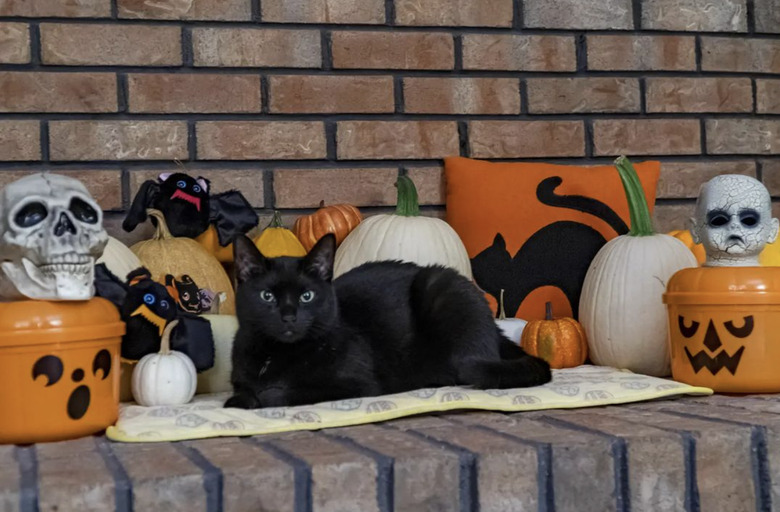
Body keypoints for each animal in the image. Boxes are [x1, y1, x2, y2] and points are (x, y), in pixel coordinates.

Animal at [225, 234, 552, 410]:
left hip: (444, 288)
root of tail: (497, 331)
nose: (289, 316)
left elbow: (285, 392)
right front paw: (242, 398)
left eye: (306, 296)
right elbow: (244, 390)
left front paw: (261, 396)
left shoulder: (358, 383)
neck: (276, 355)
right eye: (267, 296)